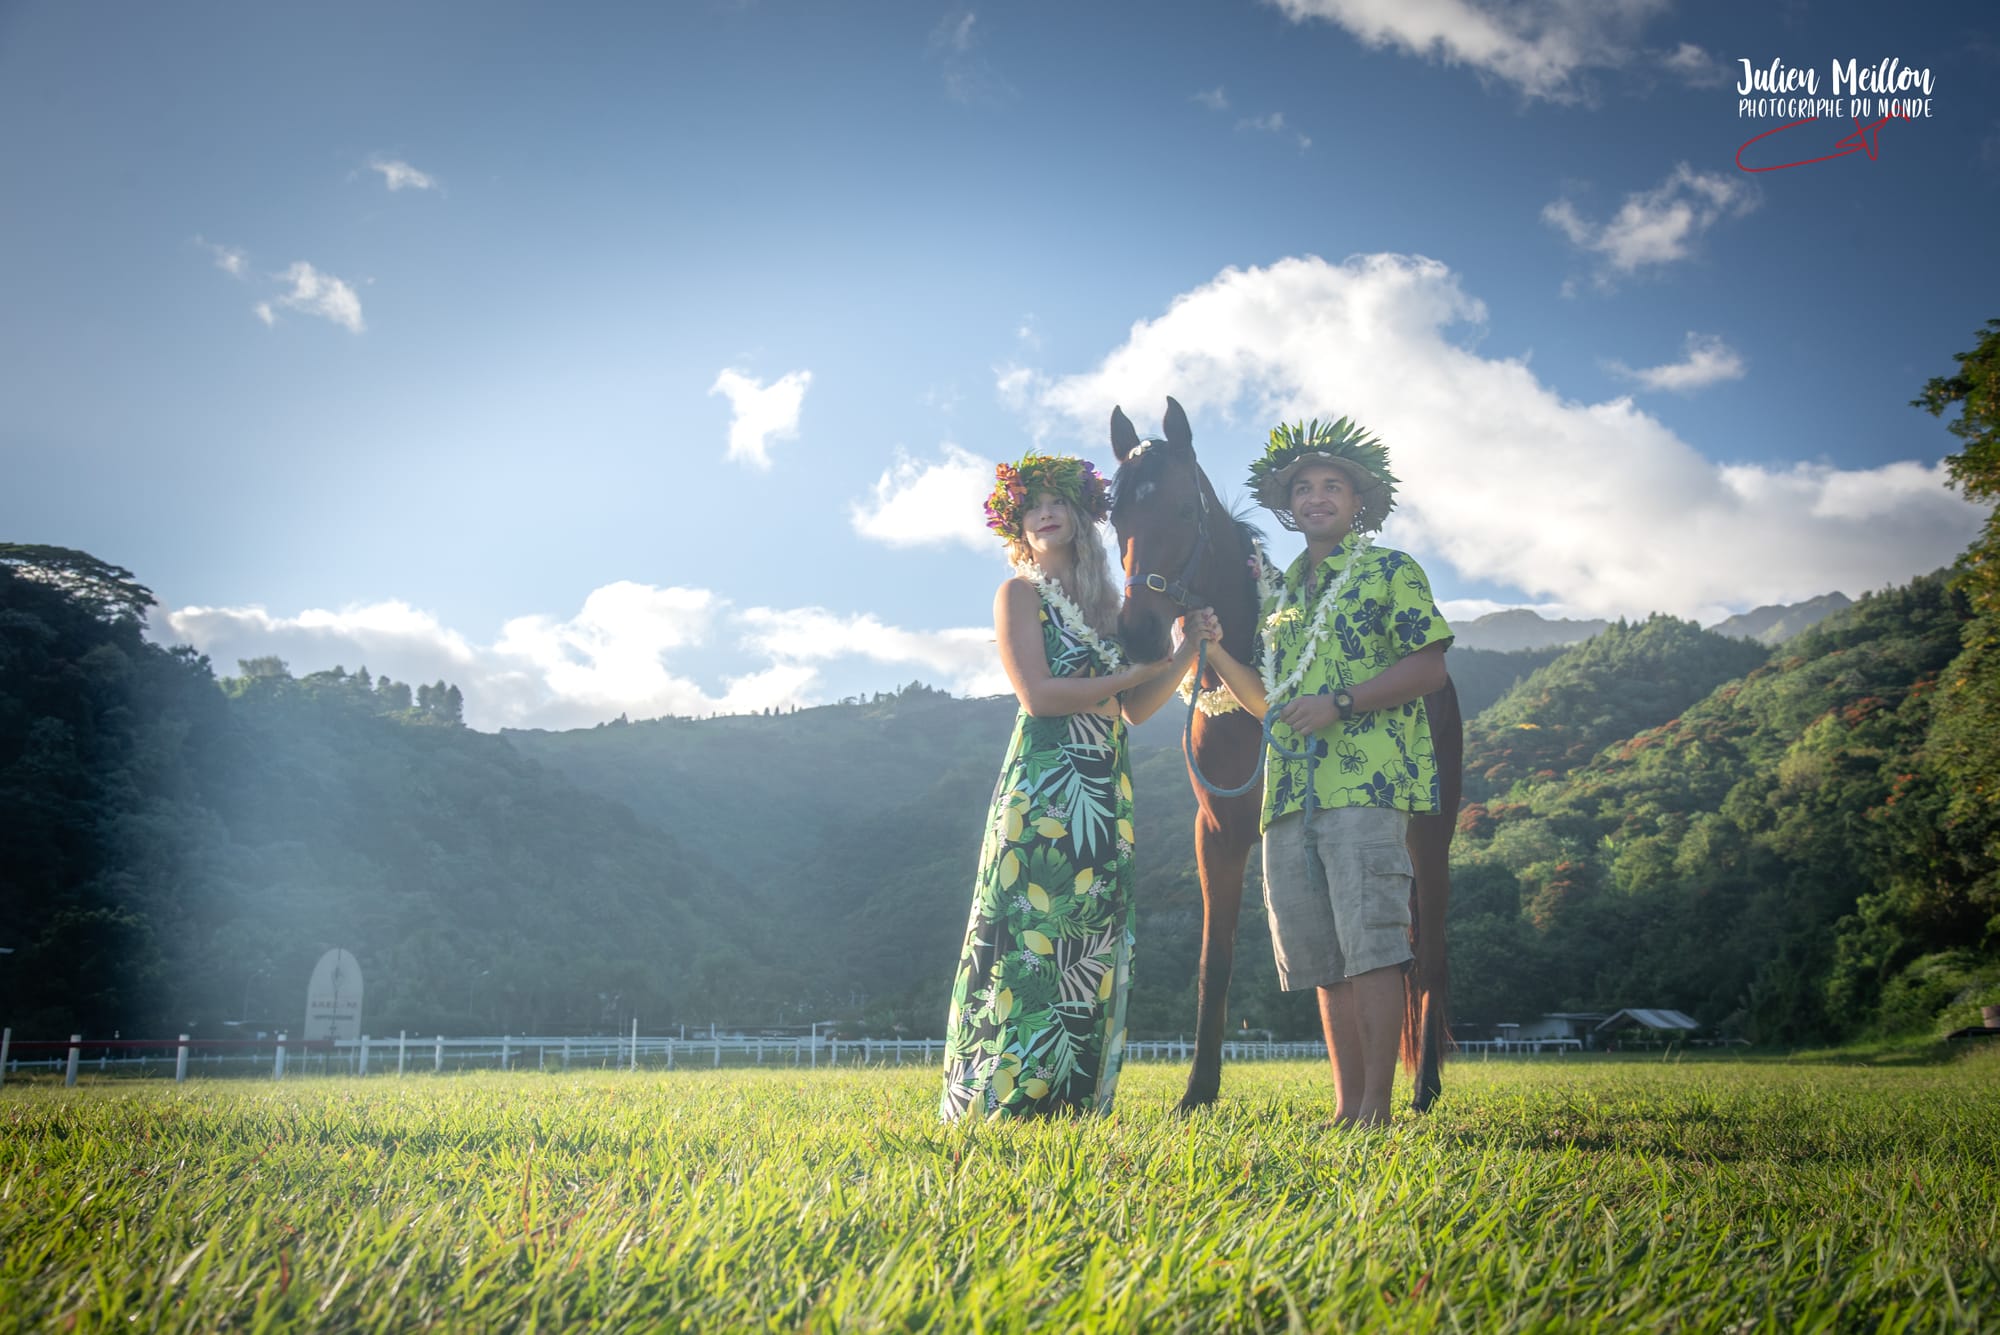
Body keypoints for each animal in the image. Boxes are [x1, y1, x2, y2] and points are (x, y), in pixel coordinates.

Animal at [1104, 395, 1464, 1119]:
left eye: (1182, 511)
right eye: (1114, 515)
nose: (1137, 634)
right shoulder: (1219, 831)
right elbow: (1216, 962)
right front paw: (1197, 1092)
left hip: (1430, 837)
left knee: (1427, 958)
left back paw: (1421, 1092)